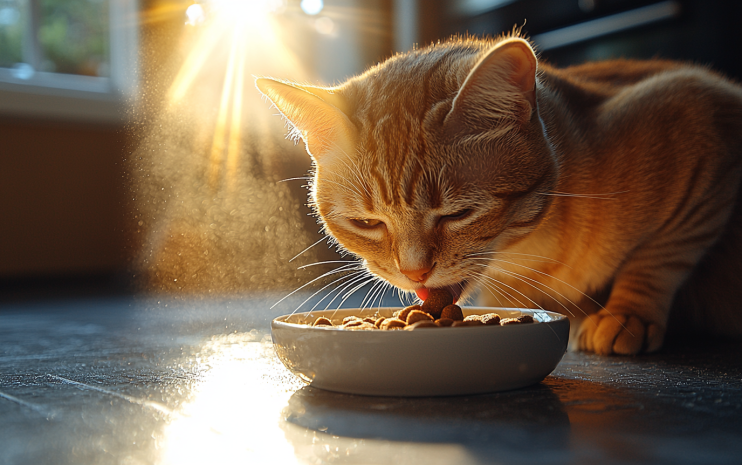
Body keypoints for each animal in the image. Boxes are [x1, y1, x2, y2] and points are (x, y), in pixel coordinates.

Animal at [256, 35, 742, 356]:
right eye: (367, 223)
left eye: (458, 214)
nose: (415, 273)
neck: (529, 257)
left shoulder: (699, 108)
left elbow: (660, 255)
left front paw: (626, 314)